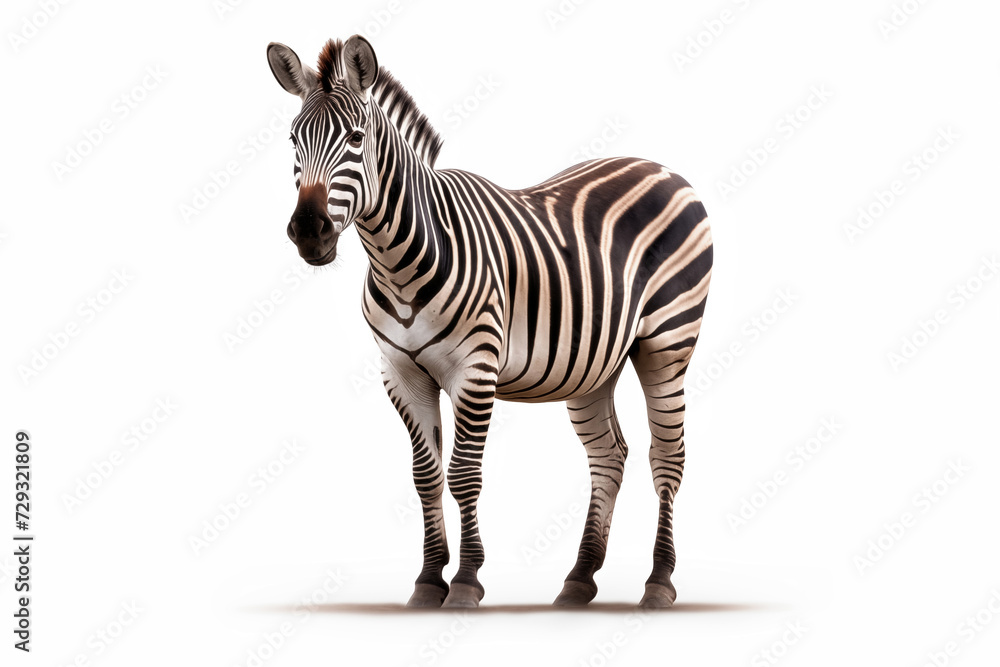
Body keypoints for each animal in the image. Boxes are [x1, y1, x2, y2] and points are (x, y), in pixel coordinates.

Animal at [267, 35, 713, 609]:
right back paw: (579, 578)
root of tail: (662, 167)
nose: (308, 231)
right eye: (293, 140)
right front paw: (428, 579)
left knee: (668, 456)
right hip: (594, 364)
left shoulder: (474, 371)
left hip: (667, 344)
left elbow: (463, 475)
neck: (398, 260)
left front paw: (465, 580)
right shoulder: (400, 374)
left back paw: (658, 581)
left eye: (356, 139)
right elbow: (426, 476)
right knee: (609, 455)